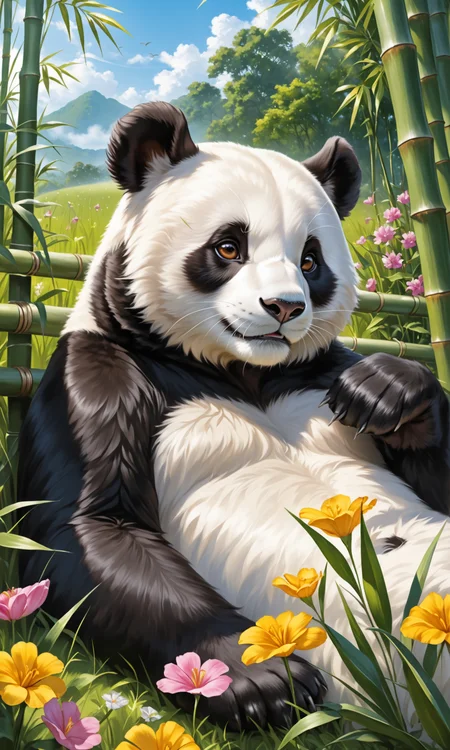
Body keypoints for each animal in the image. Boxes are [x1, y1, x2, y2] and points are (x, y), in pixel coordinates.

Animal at [19, 102, 450, 731]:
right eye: (228, 247)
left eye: (311, 260)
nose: (285, 307)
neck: (245, 374)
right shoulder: (94, 379)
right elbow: (92, 529)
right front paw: (259, 678)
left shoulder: (319, 371)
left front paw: (386, 390)